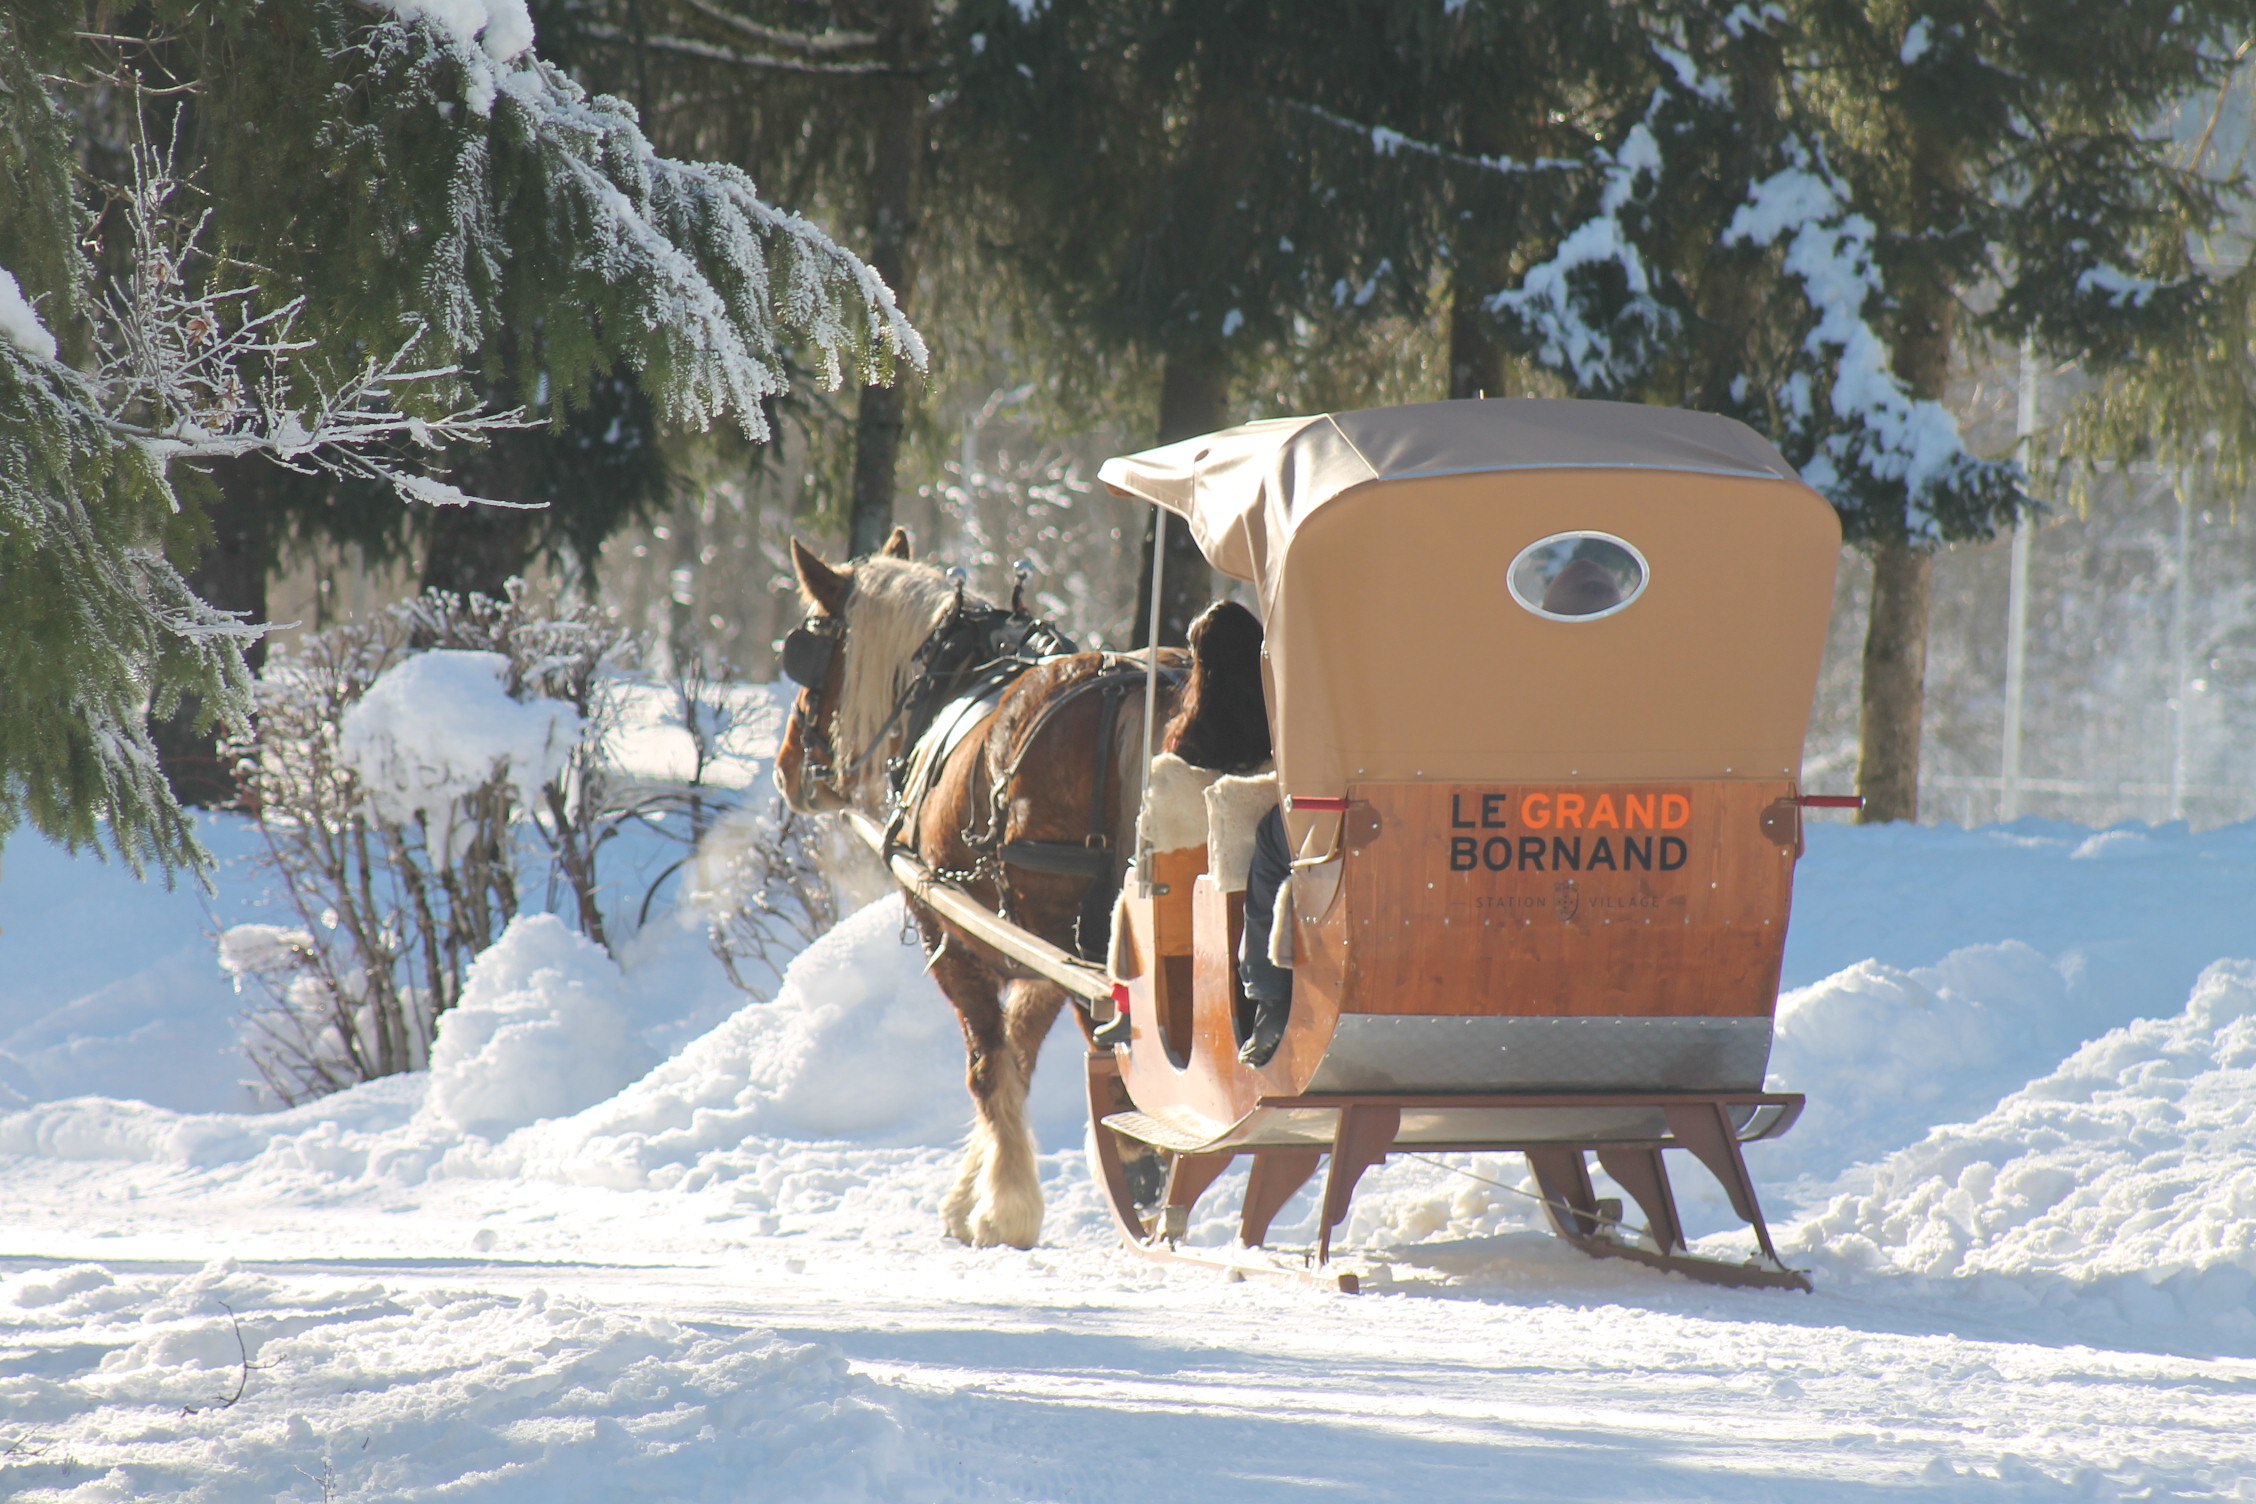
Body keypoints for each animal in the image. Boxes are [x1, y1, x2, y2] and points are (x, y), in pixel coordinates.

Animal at [776, 531, 1236, 1248]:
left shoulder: (955, 940)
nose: (786, 766)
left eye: (812, 657)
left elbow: (988, 1065)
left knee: (1121, 1049)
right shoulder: (1036, 959)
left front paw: (1001, 1209)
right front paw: (976, 1191)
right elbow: (1016, 1060)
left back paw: (1143, 1167)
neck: (954, 670)